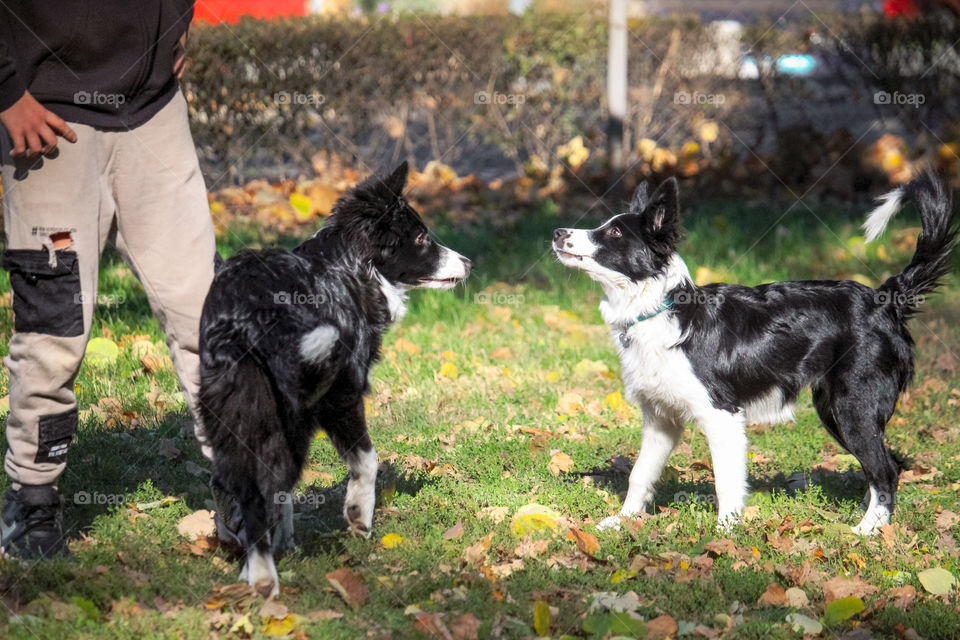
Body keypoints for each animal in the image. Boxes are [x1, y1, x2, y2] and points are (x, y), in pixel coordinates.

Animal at [198, 161, 472, 596]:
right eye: (421, 237)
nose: (468, 263)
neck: (345, 268)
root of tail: (250, 315)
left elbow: (283, 496)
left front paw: (286, 541)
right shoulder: (340, 395)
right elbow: (367, 459)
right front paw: (359, 514)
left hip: (234, 413)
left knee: (247, 488)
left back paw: (253, 567)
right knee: (265, 489)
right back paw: (264, 578)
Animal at [556, 175, 952, 536]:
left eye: (614, 233)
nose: (558, 233)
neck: (660, 308)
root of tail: (887, 299)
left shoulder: (722, 416)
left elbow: (726, 481)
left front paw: (726, 533)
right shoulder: (660, 420)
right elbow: (640, 474)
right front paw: (622, 521)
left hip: (853, 408)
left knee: (885, 470)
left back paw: (866, 531)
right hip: (835, 410)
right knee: (886, 467)